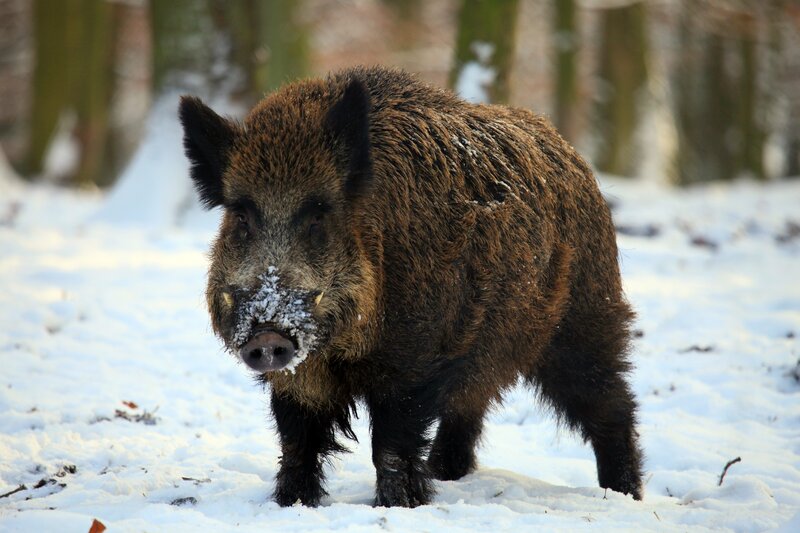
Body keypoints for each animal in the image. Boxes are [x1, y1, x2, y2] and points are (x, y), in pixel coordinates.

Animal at [178, 66, 643, 508]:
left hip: (584, 319)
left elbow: (390, 445)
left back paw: (624, 494)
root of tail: (571, 155)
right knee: (470, 405)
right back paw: (445, 475)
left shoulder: (413, 360)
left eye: (318, 214)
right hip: (487, 351)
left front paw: (398, 505)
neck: (341, 348)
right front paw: (290, 503)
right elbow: (298, 442)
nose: (268, 335)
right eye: (241, 215)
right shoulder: (300, 376)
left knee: (612, 403)